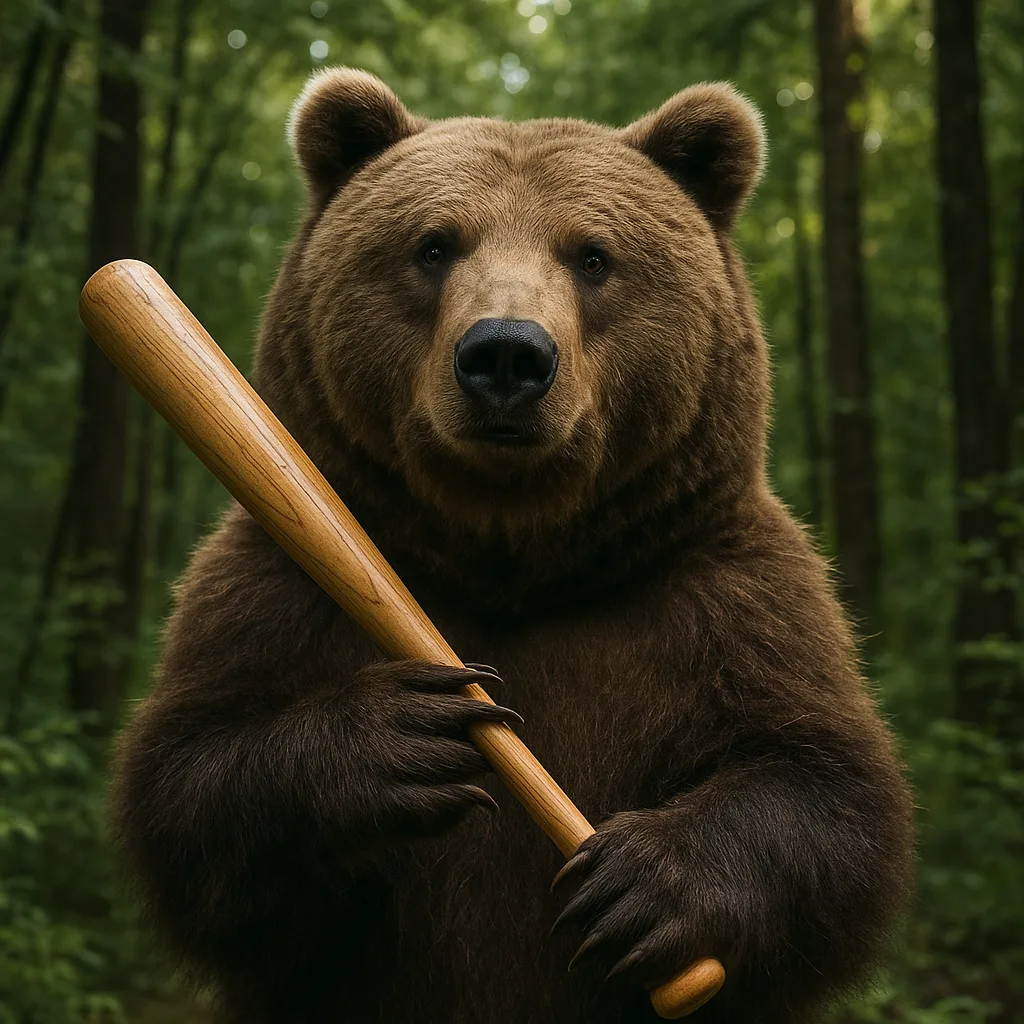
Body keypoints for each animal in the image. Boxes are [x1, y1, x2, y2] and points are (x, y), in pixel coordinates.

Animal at [111, 68, 914, 1024]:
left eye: (593, 256)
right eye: (433, 245)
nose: (505, 355)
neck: (515, 560)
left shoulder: (719, 592)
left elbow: (827, 790)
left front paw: (641, 886)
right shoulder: (271, 585)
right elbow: (190, 787)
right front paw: (402, 737)